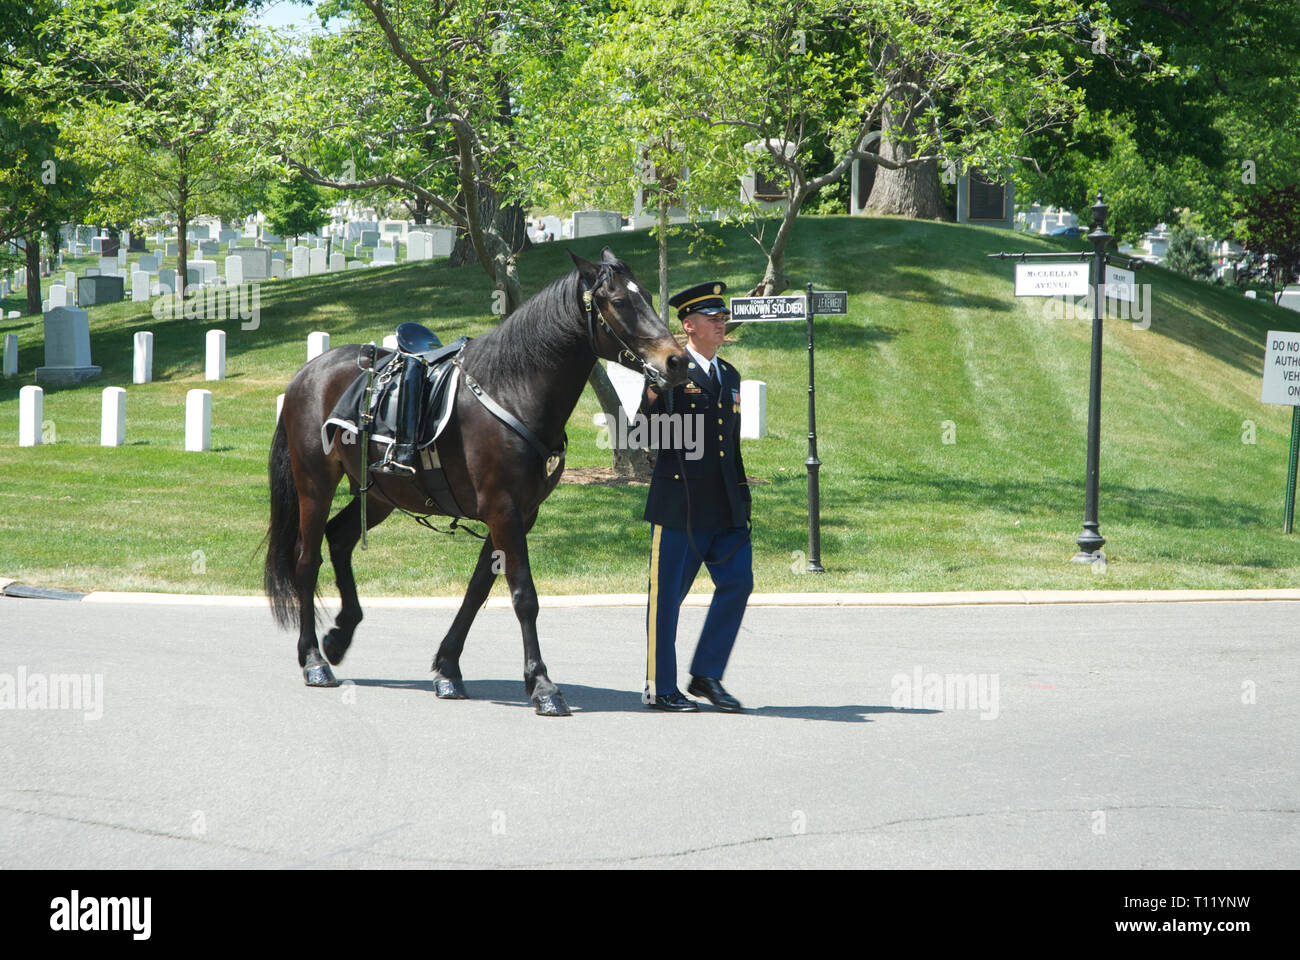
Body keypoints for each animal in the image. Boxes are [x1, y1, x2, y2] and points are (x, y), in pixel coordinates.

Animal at [263, 247, 691, 712]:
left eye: (646, 294)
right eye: (618, 301)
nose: (678, 361)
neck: (513, 389)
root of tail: (307, 372)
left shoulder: (520, 513)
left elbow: (477, 590)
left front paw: (448, 668)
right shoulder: (503, 509)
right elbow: (524, 596)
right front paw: (542, 685)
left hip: (379, 493)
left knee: (339, 537)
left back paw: (341, 634)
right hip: (315, 485)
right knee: (307, 560)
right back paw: (314, 660)